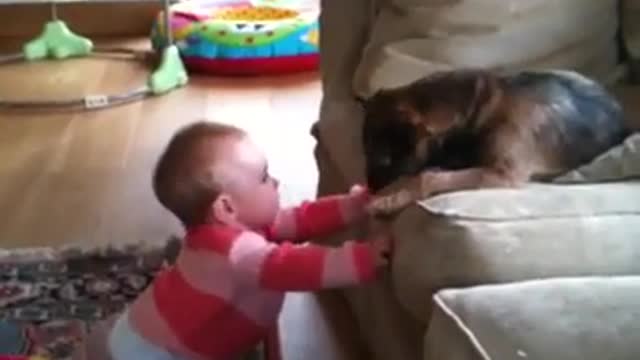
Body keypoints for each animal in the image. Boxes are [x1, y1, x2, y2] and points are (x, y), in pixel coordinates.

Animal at [360, 68, 632, 214]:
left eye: (383, 159)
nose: (370, 189)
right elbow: (421, 173)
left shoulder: (502, 173)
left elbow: (426, 176)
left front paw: (388, 199)